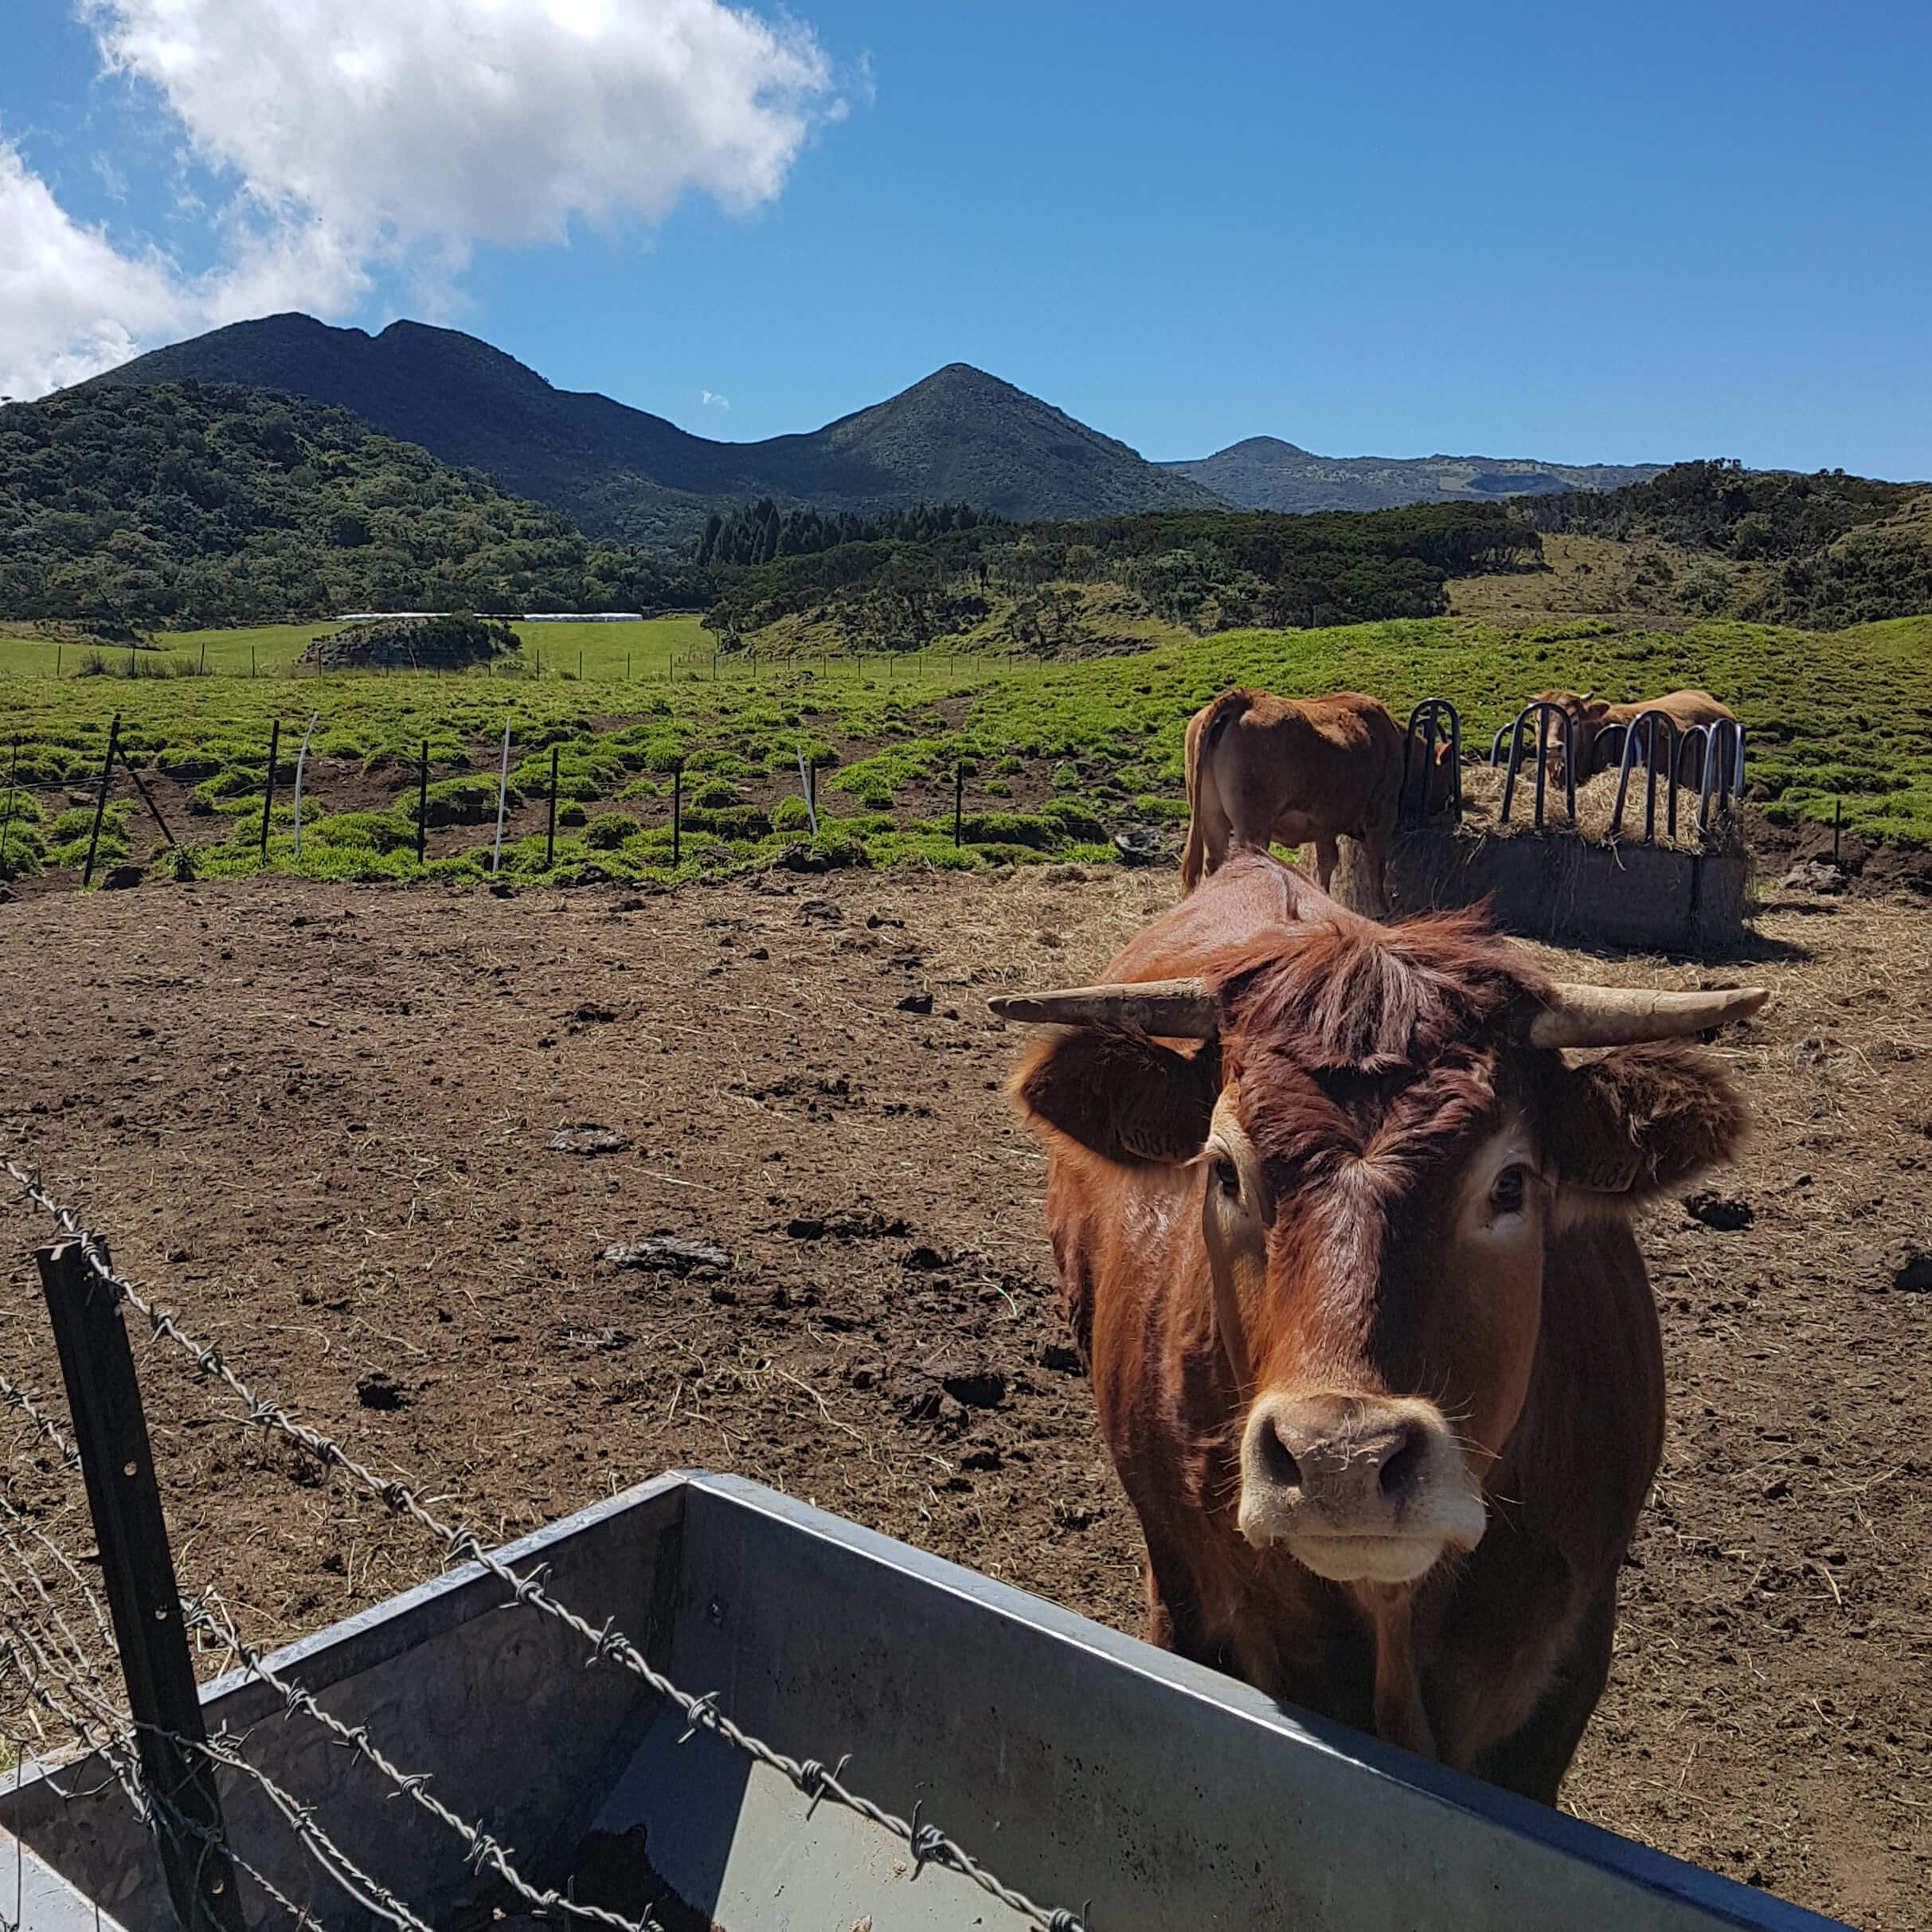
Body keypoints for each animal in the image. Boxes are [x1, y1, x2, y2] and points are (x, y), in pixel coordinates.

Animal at [1180, 690, 1454, 918]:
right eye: (1446, 778)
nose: (1446, 805)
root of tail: (1247, 697)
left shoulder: (1324, 824)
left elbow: (1327, 861)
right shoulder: (1381, 813)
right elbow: (1375, 864)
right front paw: (1382, 911)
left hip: (1212, 817)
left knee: (1214, 863)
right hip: (1253, 826)